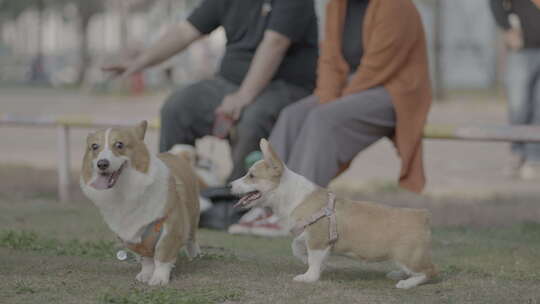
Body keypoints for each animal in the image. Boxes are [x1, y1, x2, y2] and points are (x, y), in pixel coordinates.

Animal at [79, 120, 199, 284]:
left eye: (119, 144)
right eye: (94, 146)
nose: (102, 164)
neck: (125, 192)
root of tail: (175, 155)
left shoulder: (172, 224)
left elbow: (162, 252)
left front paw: (159, 278)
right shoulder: (130, 235)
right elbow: (146, 259)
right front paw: (146, 274)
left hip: (192, 215)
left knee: (191, 237)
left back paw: (194, 254)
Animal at [230, 139, 436, 288]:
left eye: (251, 176)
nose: (229, 185)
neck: (290, 194)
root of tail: (422, 216)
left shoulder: (317, 240)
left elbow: (313, 261)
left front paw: (308, 277)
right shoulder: (309, 236)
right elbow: (297, 247)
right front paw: (309, 260)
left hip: (408, 256)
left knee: (430, 271)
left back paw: (407, 283)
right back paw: (398, 274)